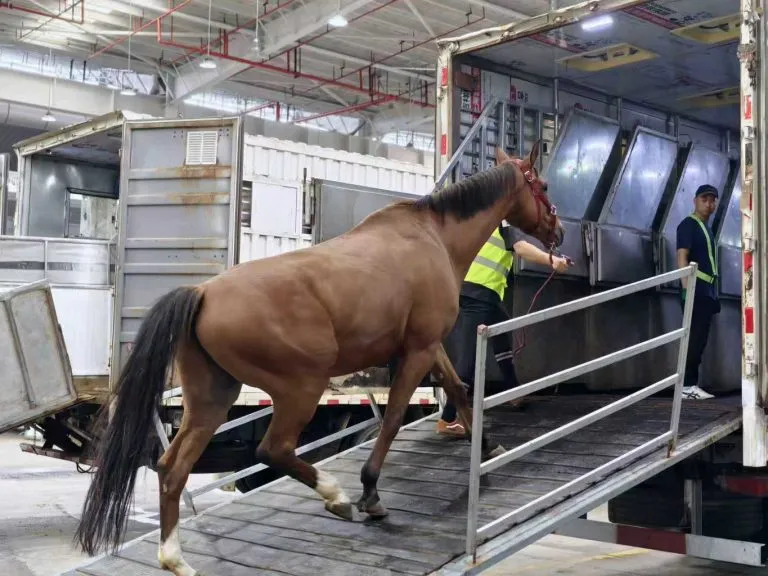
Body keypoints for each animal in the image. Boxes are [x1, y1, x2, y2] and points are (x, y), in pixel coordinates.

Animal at [75, 143, 563, 576]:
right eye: (541, 185)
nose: (557, 233)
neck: (434, 238)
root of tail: (202, 293)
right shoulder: (418, 350)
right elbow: (393, 418)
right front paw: (370, 492)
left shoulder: (429, 346)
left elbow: (460, 390)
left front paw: (489, 445)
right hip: (300, 388)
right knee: (272, 449)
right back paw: (337, 497)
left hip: (212, 398)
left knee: (171, 468)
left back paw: (175, 559)